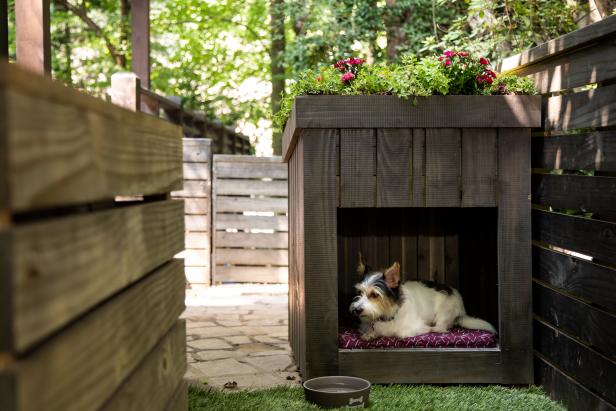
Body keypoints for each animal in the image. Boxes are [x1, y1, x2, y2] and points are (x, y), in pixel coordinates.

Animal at [348, 254, 498, 342]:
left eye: (375, 295)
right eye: (359, 292)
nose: (357, 310)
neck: (387, 315)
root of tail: (462, 310)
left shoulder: (413, 326)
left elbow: (399, 333)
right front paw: (370, 334)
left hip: (444, 314)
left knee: (441, 328)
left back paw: (433, 328)